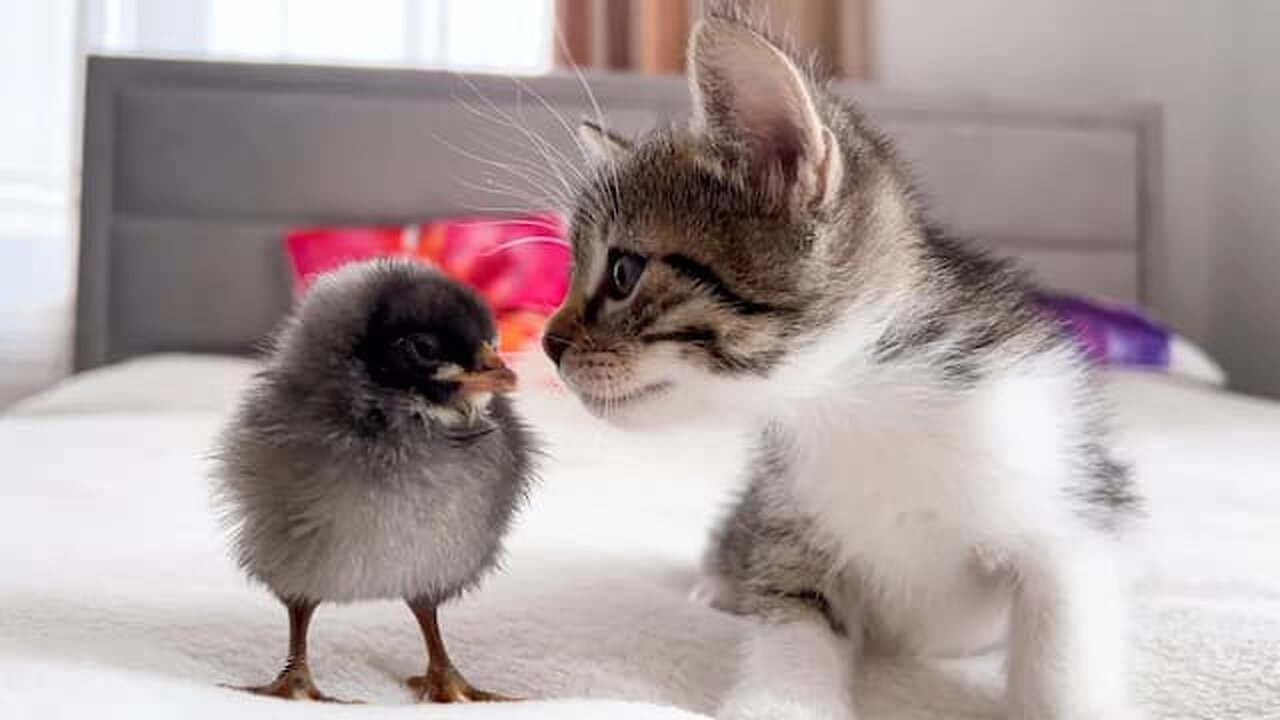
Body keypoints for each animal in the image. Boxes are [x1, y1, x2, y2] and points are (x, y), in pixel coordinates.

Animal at [545, 7, 1146, 717]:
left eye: (622, 272)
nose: (548, 344)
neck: (860, 403)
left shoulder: (1072, 506)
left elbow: (1062, 648)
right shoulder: (790, 527)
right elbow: (793, 620)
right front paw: (780, 699)